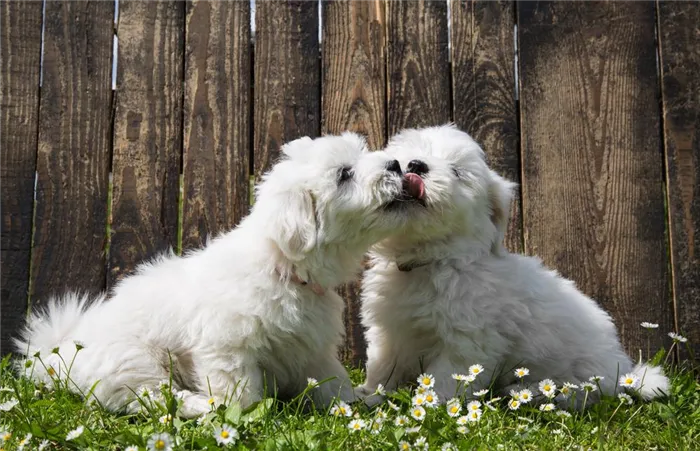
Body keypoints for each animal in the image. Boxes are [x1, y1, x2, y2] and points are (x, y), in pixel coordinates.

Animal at [15, 132, 410, 418]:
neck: (282, 267)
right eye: (344, 174)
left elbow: (332, 380)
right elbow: (240, 391)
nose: (395, 163)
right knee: (148, 396)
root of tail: (62, 353)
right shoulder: (227, 346)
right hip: (133, 360)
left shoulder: (313, 347)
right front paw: (246, 418)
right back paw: (195, 406)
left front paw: (356, 402)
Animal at [360, 125, 668, 408]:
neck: (433, 261)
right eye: (406, 158)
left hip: (583, 374)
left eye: (457, 172)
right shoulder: (389, 331)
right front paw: (369, 397)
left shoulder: (467, 342)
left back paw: (523, 391)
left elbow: (446, 379)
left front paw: (429, 407)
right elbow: (382, 365)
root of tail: (624, 372)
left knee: (575, 392)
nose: (415, 165)